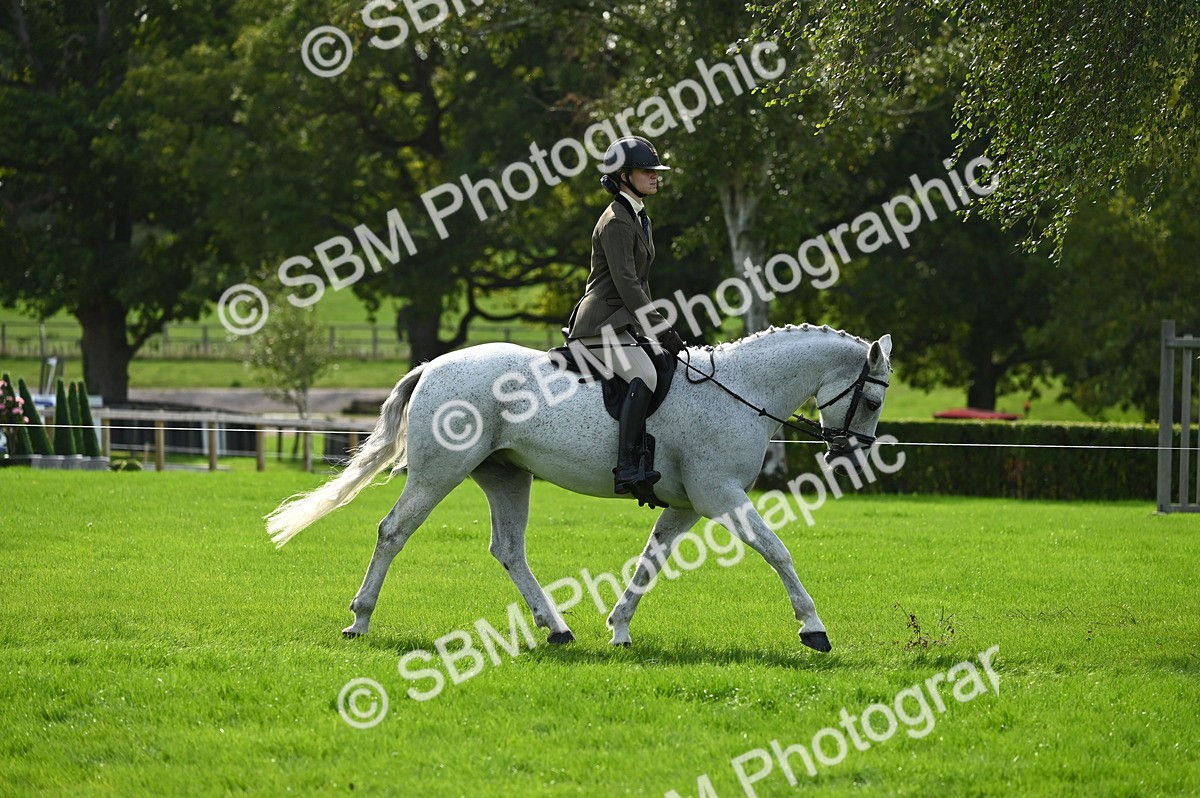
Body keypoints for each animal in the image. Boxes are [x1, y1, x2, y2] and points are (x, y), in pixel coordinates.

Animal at [266, 323, 892, 652]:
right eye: (872, 398)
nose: (850, 453)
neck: (740, 389)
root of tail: (432, 365)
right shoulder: (721, 498)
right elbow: (778, 551)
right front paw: (814, 629)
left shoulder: (689, 505)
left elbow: (650, 562)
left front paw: (619, 628)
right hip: (439, 471)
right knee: (393, 531)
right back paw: (359, 620)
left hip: (506, 475)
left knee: (508, 549)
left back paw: (557, 628)